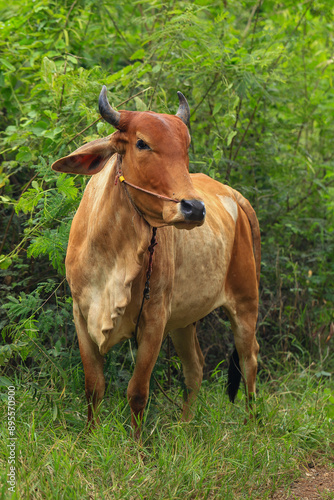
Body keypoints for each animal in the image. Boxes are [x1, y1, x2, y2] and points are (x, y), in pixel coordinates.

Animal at [52, 87, 260, 438]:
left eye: (185, 148)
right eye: (142, 143)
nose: (194, 208)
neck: (112, 251)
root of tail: (232, 193)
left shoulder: (154, 320)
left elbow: (137, 392)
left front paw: (136, 446)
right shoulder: (81, 313)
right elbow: (93, 386)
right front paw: (90, 435)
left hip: (246, 305)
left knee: (250, 362)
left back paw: (251, 427)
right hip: (185, 321)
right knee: (195, 368)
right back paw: (185, 427)